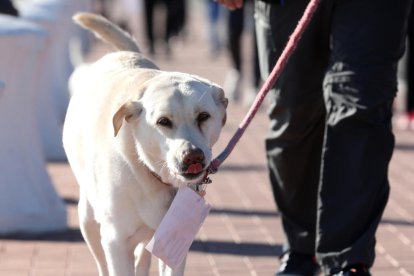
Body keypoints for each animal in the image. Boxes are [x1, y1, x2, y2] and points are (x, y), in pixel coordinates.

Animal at [63, 12, 228, 276]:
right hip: (88, 219)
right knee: (101, 260)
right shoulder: (116, 242)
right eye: (163, 121)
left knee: (142, 257)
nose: (193, 156)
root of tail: (123, 54)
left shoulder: (174, 242)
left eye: (203, 116)